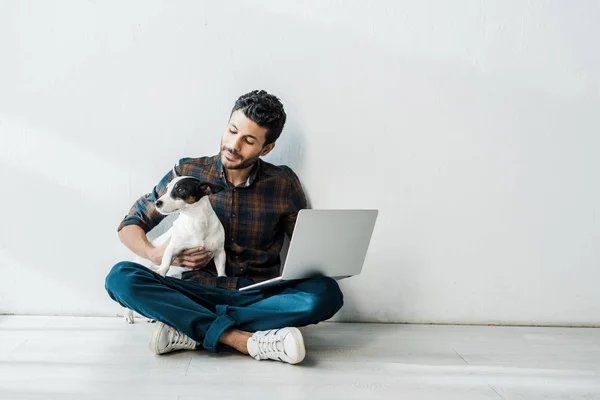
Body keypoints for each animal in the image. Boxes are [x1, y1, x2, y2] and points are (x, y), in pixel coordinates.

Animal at [123, 177, 226, 324]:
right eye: (166, 189)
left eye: (180, 189)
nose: (157, 202)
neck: (195, 220)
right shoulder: (172, 248)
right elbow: (166, 262)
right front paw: (160, 271)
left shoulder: (219, 252)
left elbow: (221, 267)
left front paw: (222, 277)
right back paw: (128, 315)